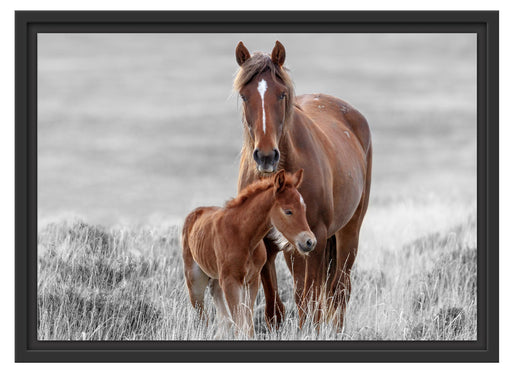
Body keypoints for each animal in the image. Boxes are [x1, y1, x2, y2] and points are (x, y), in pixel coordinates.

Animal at [233, 41, 372, 332]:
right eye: (244, 96)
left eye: (282, 94)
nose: (266, 156)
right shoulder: (267, 241)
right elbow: (276, 308)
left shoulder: (315, 238)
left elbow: (311, 302)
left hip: (347, 233)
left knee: (339, 290)